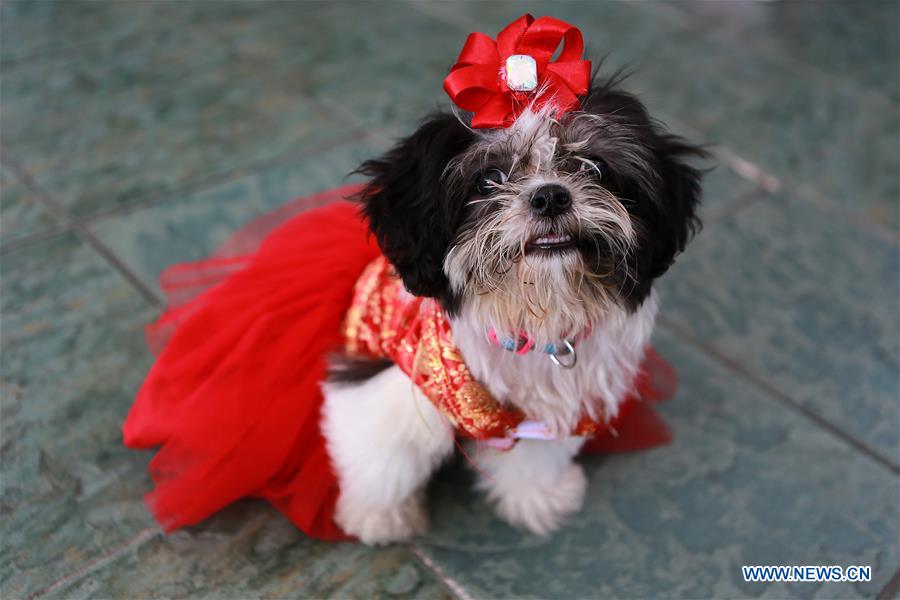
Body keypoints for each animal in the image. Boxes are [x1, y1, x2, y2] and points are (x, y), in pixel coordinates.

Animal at [320, 71, 708, 544]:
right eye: (489, 179)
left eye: (592, 167)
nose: (550, 196)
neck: (530, 314)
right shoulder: (395, 373)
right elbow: (384, 453)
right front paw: (377, 517)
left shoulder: (551, 407)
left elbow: (535, 456)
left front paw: (537, 500)